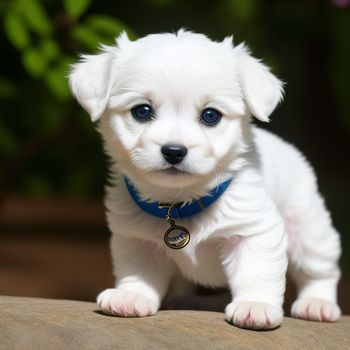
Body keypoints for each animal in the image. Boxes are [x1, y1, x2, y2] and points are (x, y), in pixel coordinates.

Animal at [69, 30, 342, 330]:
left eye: (211, 115)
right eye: (142, 111)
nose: (174, 151)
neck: (182, 203)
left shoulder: (255, 230)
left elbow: (256, 271)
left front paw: (255, 305)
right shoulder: (136, 238)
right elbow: (139, 271)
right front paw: (132, 295)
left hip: (309, 233)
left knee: (320, 272)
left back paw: (317, 304)